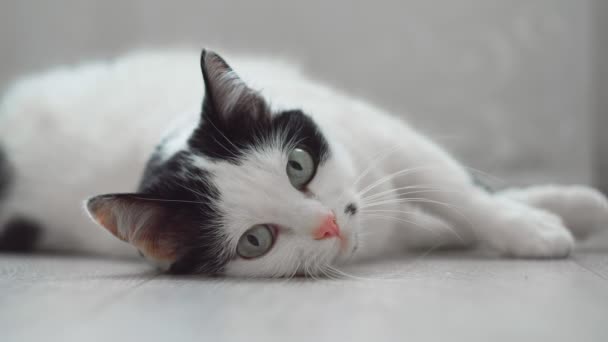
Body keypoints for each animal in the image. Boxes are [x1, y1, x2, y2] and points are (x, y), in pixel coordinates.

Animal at [1, 48, 608, 276]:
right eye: (255, 241)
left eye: (298, 166)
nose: (330, 224)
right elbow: (441, 209)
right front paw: (541, 224)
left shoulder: (375, 131)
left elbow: (455, 190)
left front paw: (548, 216)